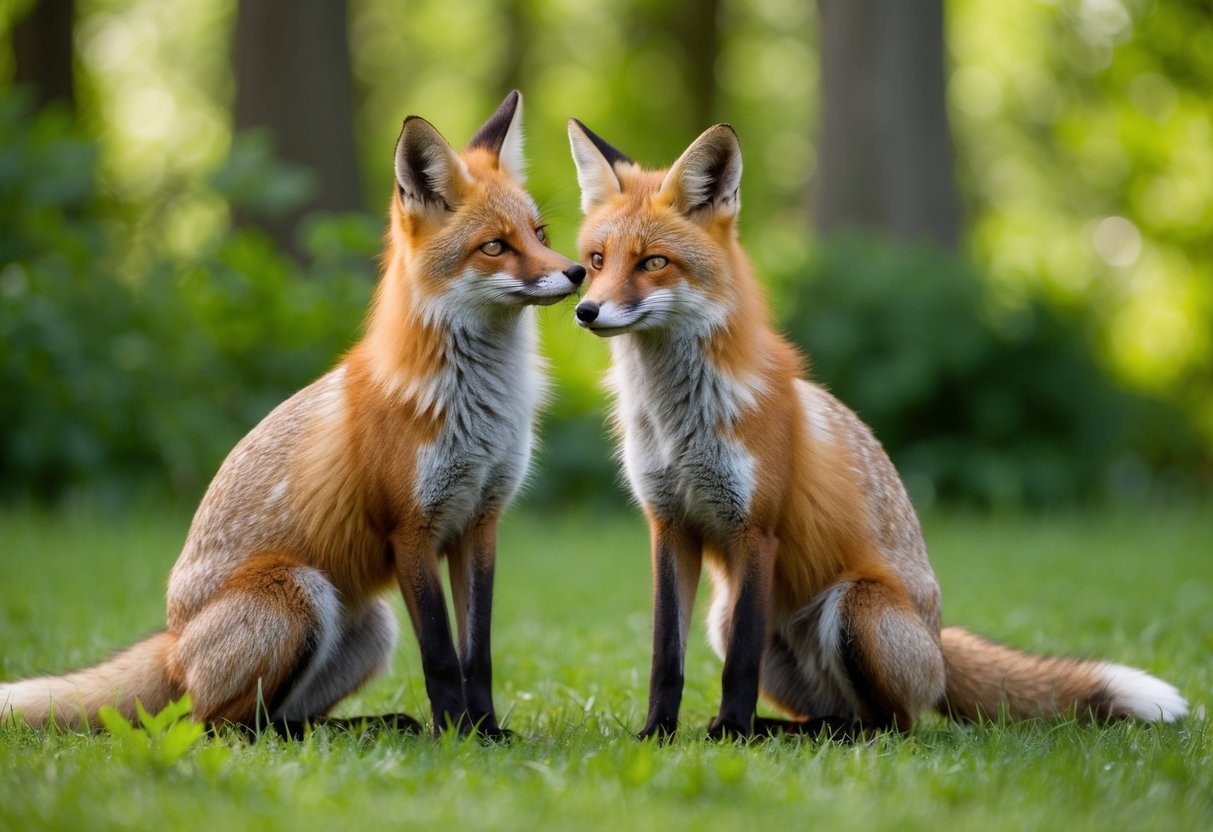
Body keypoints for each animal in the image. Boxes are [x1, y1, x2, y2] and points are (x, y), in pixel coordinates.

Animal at [0, 91, 586, 738]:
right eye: (495, 246)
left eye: (540, 233)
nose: (578, 272)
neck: (475, 409)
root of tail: (174, 641)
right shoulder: (410, 529)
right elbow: (439, 654)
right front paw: (454, 736)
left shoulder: (480, 522)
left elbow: (476, 653)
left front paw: (485, 733)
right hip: (301, 595)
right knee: (221, 727)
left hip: (372, 627)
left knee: (277, 717)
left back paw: (371, 725)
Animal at [566, 118, 1188, 739]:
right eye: (596, 260)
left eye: (652, 263)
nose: (585, 311)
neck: (678, 422)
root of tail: (938, 645)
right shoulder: (669, 525)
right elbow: (665, 655)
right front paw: (658, 734)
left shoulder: (756, 529)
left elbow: (738, 665)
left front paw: (731, 734)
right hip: (736, 621)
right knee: (842, 712)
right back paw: (785, 728)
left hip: (855, 608)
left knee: (892, 724)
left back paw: (784, 732)